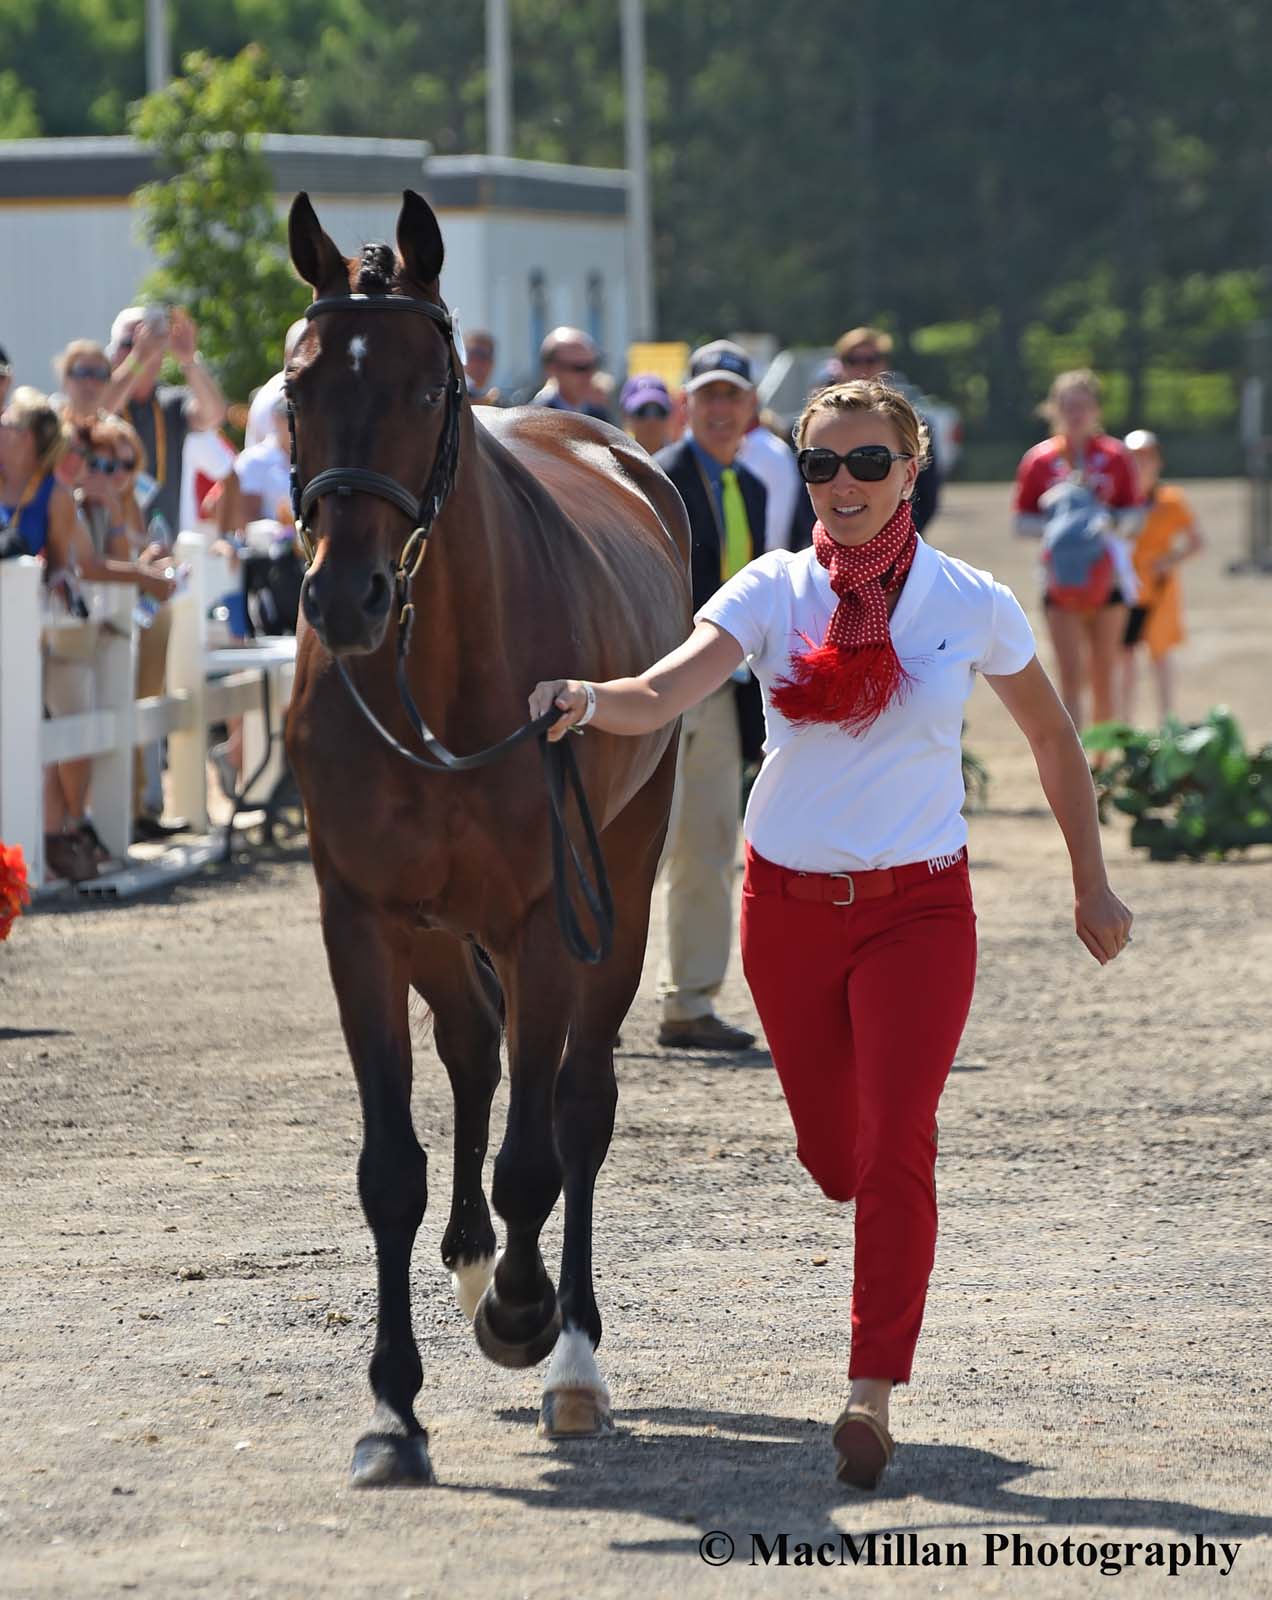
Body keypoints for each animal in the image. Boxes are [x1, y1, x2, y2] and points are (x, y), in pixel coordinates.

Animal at [284, 190, 691, 1484]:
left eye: (428, 389)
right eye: (296, 386)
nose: (344, 596)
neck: (439, 674)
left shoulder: (546, 915)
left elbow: (538, 1148)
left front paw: (527, 1315)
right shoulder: (360, 919)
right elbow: (391, 1169)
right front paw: (392, 1411)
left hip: (616, 887)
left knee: (576, 1103)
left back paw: (566, 1347)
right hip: (435, 926)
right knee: (472, 1055)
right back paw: (472, 1270)